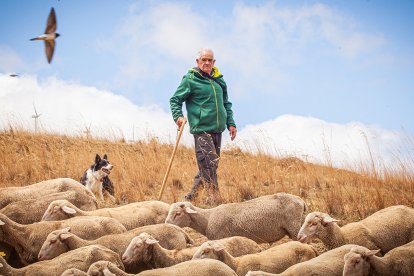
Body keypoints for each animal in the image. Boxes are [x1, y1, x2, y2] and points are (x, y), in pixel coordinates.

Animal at [164, 193, 304, 243]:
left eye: (178, 213)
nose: (166, 224)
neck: (207, 219)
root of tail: (301, 200)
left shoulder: (221, 238)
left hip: (295, 228)